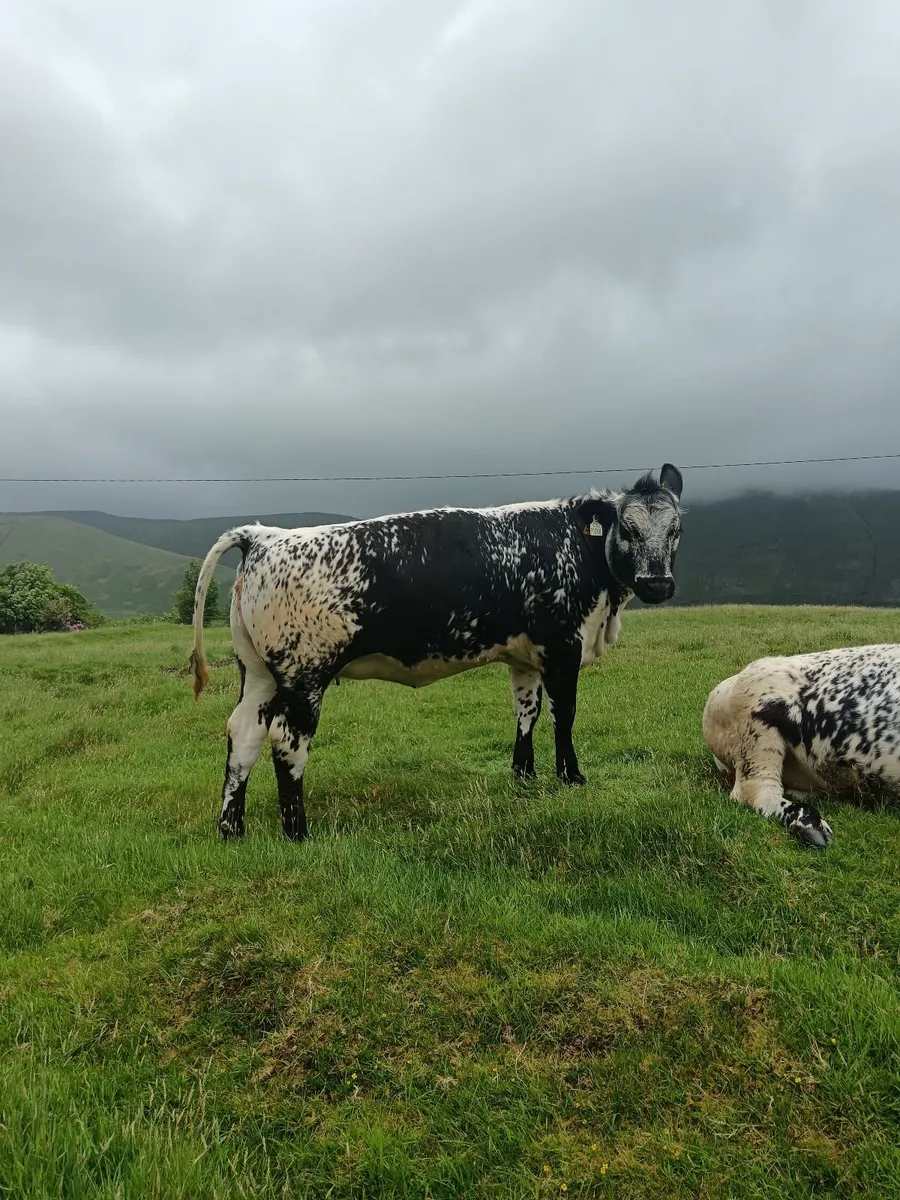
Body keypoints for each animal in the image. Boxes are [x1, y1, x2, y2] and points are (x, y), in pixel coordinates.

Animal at [189, 463, 684, 841]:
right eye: (628, 529)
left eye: (676, 529)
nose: (658, 584)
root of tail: (264, 535)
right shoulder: (562, 646)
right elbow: (565, 712)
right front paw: (571, 776)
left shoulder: (525, 657)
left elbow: (526, 711)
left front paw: (524, 774)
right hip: (304, 675)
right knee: (286, 742)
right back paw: (297, 832)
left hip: (258, 673)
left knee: (243, 734)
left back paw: (231, 829)